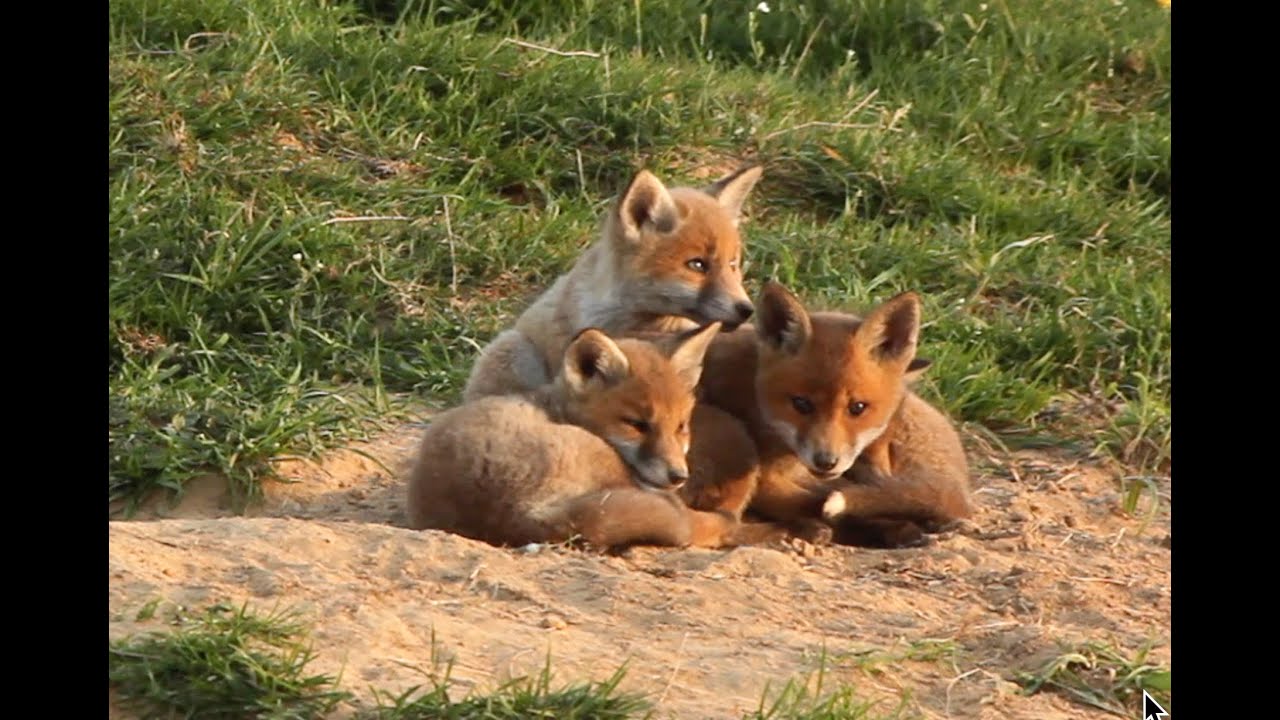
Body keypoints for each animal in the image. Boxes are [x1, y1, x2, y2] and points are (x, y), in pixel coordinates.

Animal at [696, 282, 974, 548]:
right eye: (801, 404)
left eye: (858, 408)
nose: (826, 461)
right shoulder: (767, 479)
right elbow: (814, 504)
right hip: (736, 440)